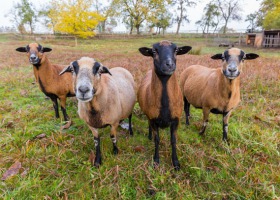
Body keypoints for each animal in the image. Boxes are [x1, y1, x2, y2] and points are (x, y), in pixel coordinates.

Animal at [138, 40, 192, 170]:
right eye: (154, 51)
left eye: (176, 50)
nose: (169, 65)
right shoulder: (153, 119)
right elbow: (157, 140)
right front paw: (156, 161)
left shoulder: (176, 120)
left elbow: (173, 140)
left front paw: (176, 163)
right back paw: (149, 136)